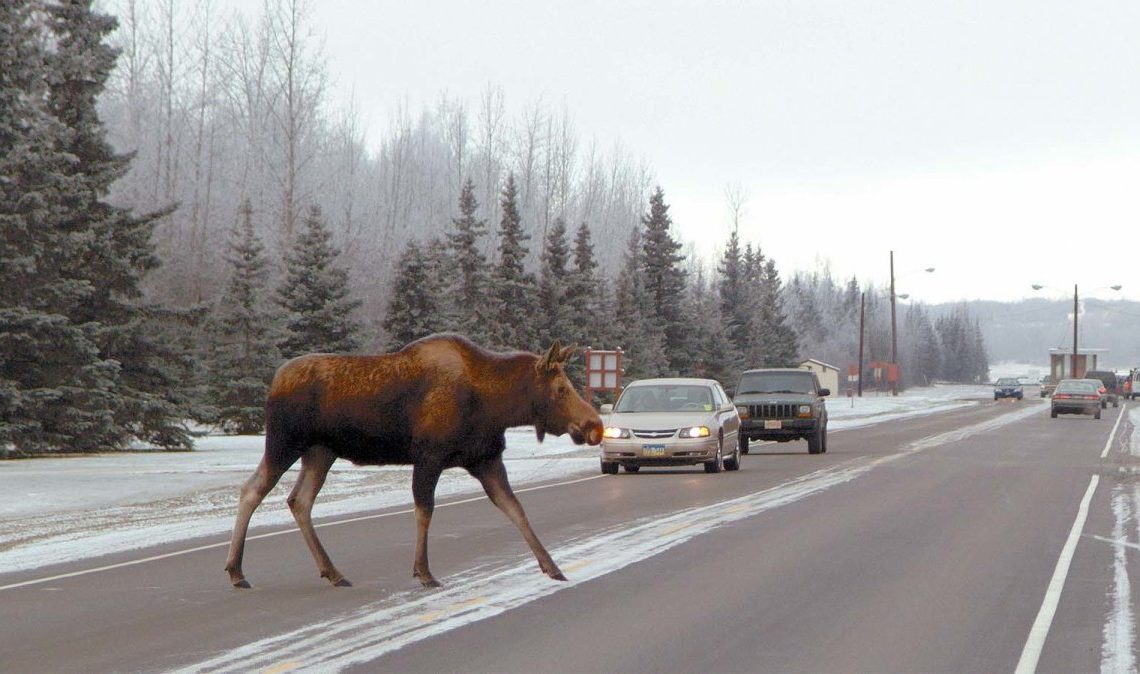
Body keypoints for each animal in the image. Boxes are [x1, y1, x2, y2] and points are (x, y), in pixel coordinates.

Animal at [223, 334, 604, 589]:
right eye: (560, 390)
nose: (595, 425)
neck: (495, 405)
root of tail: (274, 382)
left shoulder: (486, 460)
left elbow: (516, 509)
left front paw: (552, 566)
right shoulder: (429, 457)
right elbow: (425, 510)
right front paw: (424, 572)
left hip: (320, 453)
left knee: (299, 500)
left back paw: (333, 572)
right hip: (284, 443)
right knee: (252, 489)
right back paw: (237, 571)